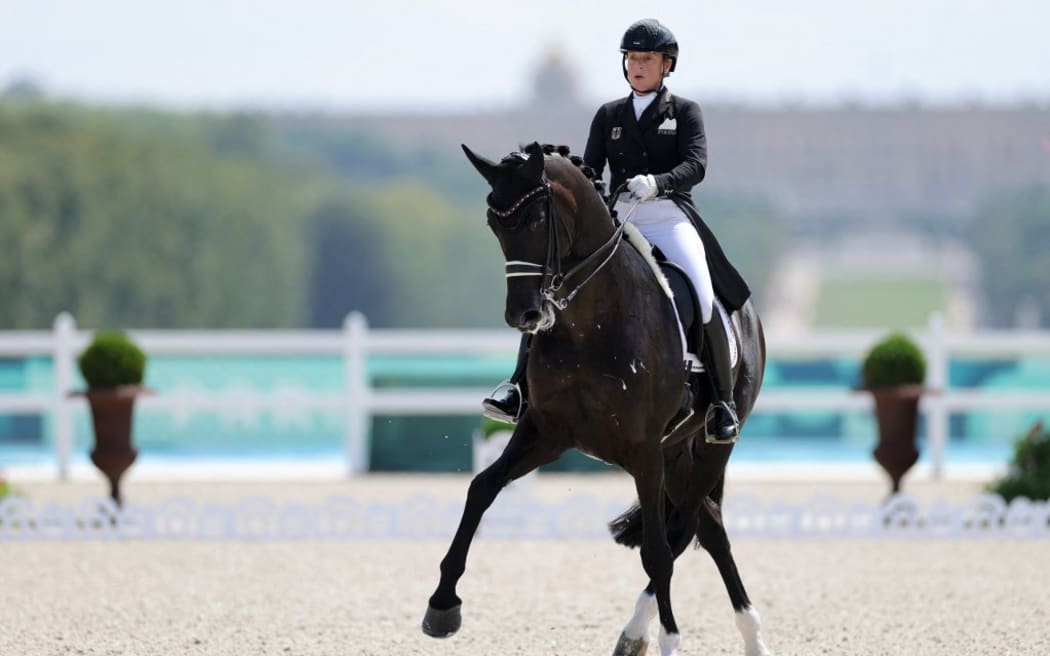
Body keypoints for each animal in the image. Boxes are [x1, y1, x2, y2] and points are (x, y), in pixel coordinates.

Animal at [422, 140, 776, 650]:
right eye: (493, 222)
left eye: (536, 219)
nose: (523, 315)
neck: (591, 324)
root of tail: (747, 314)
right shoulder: (545, 433)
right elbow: (481, 489)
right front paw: (442, 605)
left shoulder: (643, 452)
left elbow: (657, 552)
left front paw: (671, 640)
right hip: (676, 454)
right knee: (708, 525)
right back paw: (724, 634)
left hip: (711, 447)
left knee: (683, 528)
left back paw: (695, 634)